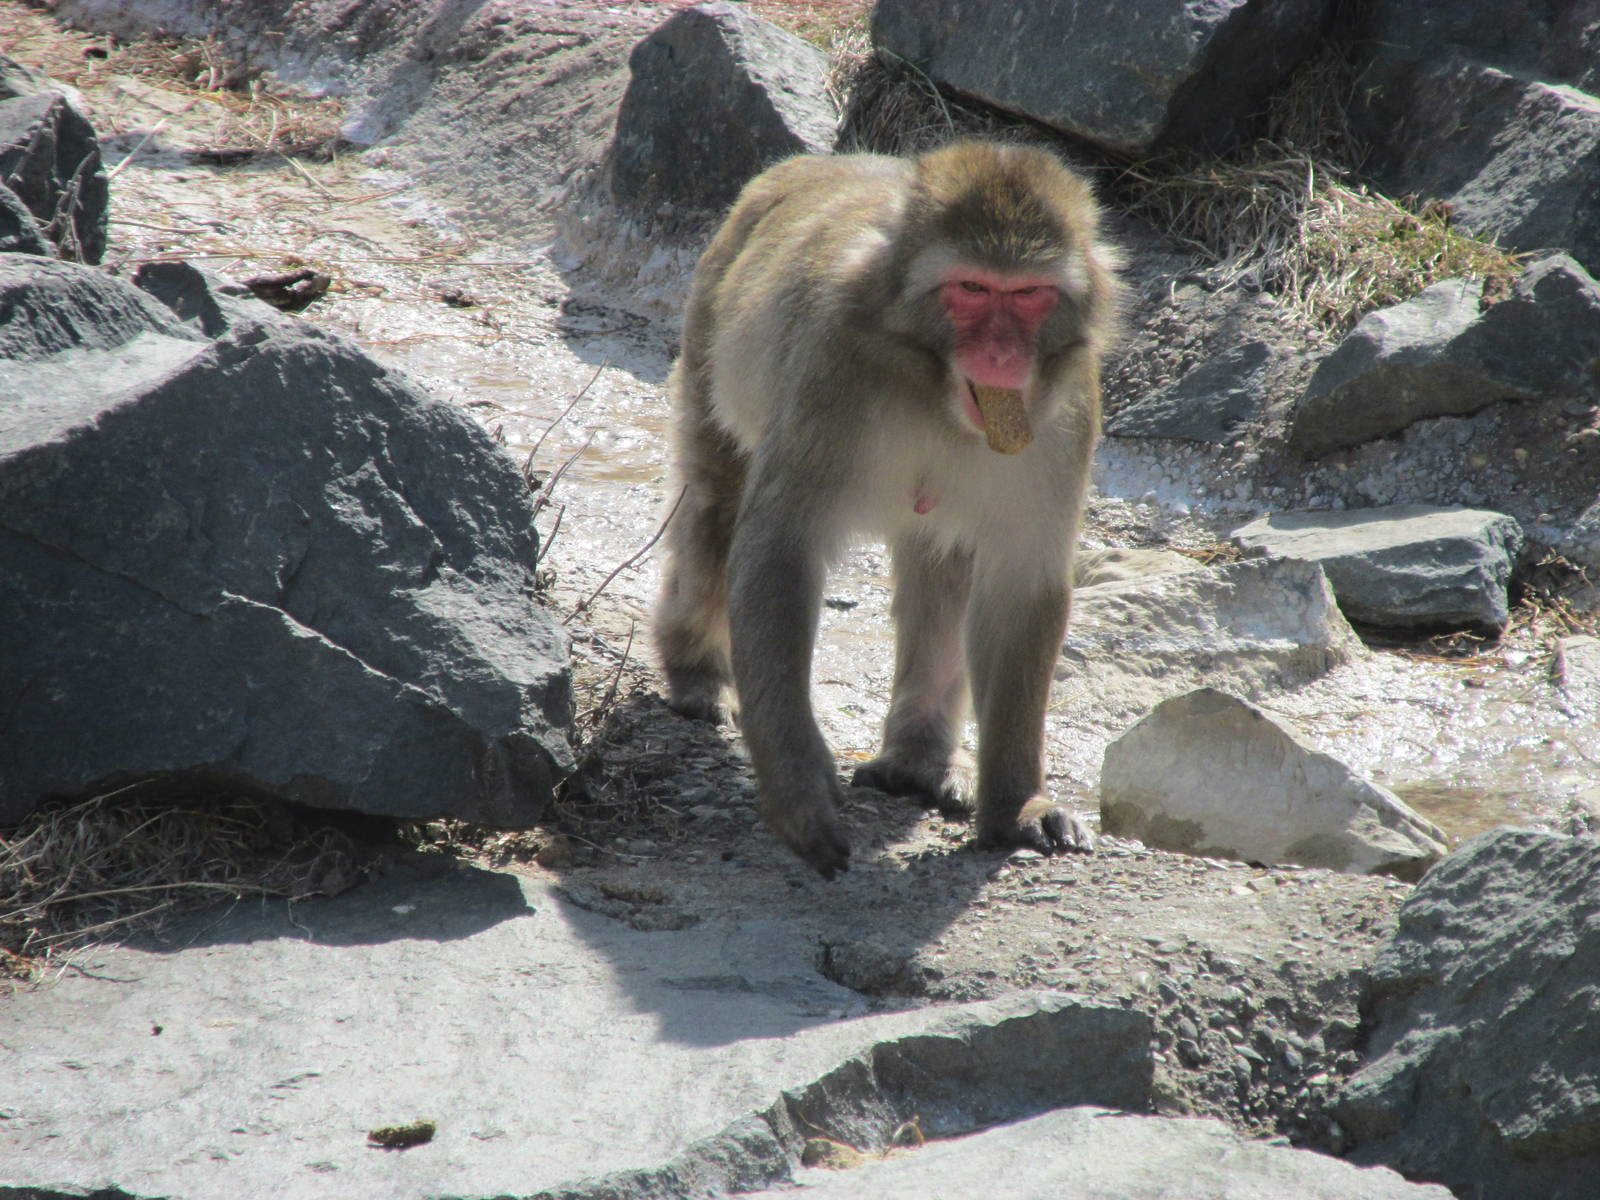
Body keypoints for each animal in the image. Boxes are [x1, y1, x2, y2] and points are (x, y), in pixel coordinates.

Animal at [653, 140, 1120, 878]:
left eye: (1028, 295)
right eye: (971, 290)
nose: (1001, 353)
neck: (934, 392)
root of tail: (808, 163)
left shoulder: (1067, 414)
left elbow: (1019, 584)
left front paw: (1018, 802)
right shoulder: (830, 368)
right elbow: (779, 547)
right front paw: (797, 784)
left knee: (943, 559)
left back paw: (918, 760)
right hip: (708, 327)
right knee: (715, 502)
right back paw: (697, 671)